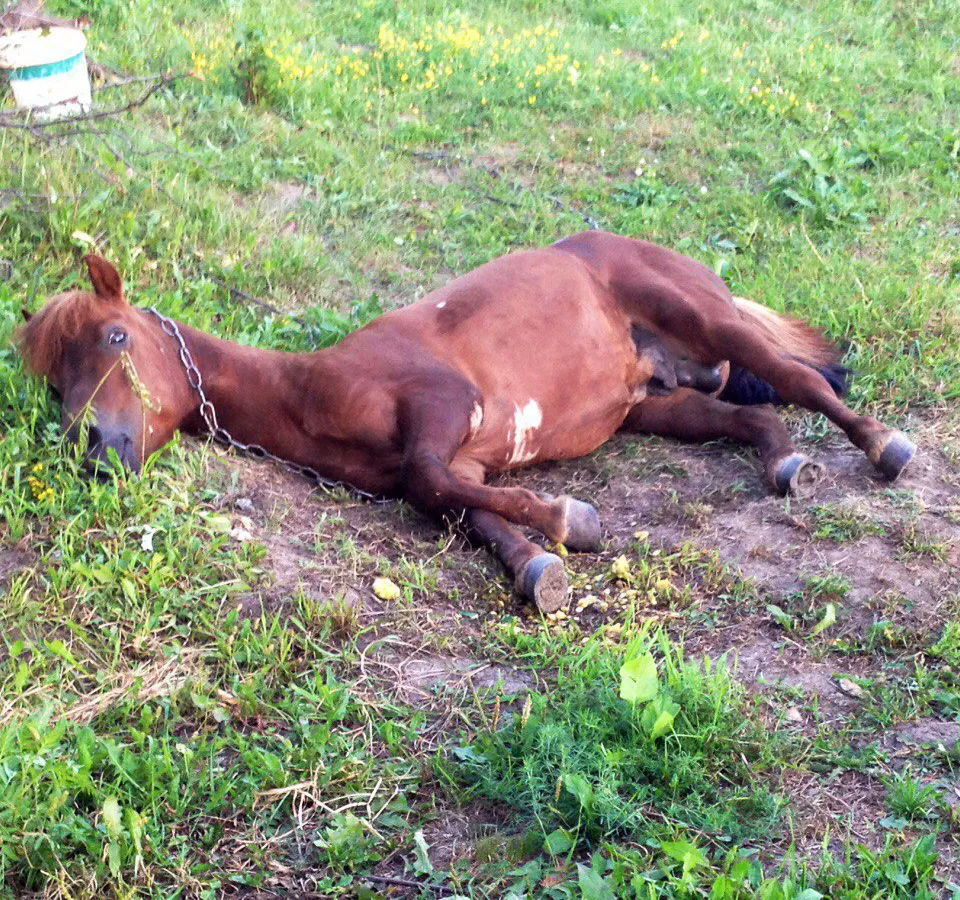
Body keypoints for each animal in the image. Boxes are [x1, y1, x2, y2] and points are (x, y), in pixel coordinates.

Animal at [17, 231, 915, 611]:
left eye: (116, 336)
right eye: (54, 383)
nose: (90, 448)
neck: (313, 388)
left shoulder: (447, 408)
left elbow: (431, 480)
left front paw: (571, 521)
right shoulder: (470, 463)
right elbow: (457, 504)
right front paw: (538, 565)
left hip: (701, 317)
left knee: (796, 375)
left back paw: (883, 446)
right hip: (650, 403)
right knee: (740, 418)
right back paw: (783, 462)